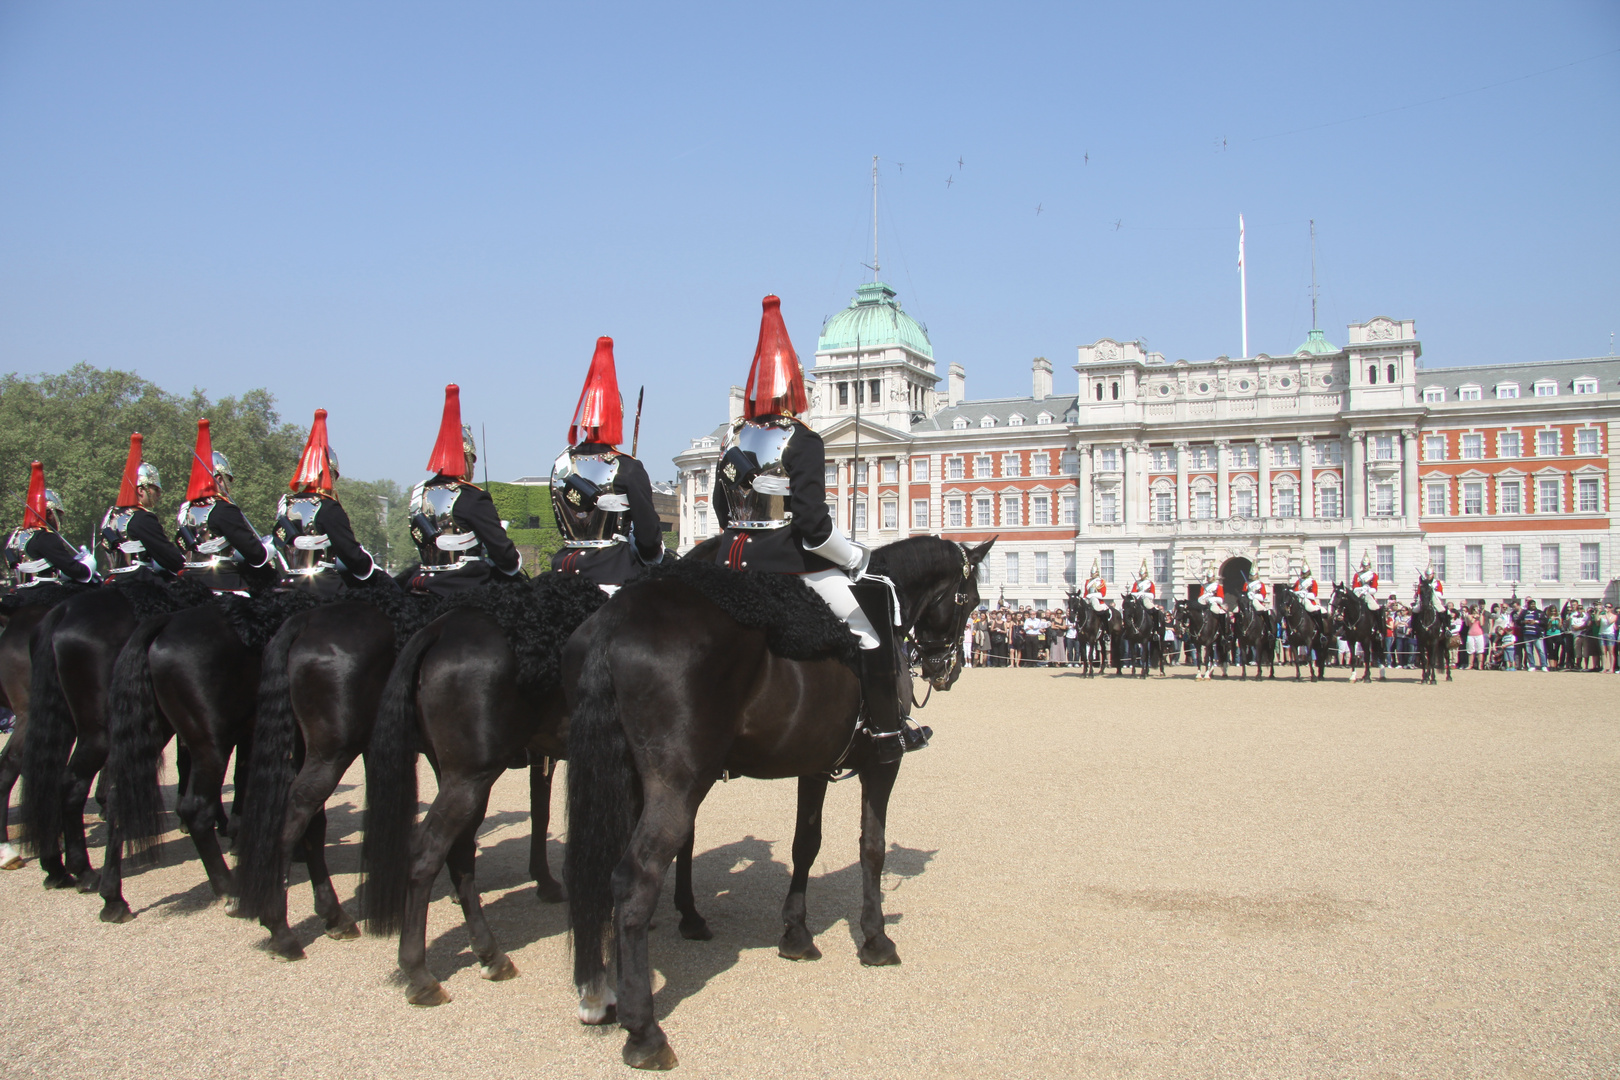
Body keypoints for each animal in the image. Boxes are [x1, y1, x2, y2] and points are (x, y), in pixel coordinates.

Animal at [567, 537, 984, 1068]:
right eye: (970, 600)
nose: (947, 669)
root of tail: (617, 615)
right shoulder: (882, 764)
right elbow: (872, 847)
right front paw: (875, 939)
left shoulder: (815, 764)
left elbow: (805, 844)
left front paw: (796, 935)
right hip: (676, 785)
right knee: (634, 879)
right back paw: (644, 1031)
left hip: (627, 783)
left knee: (598, 869)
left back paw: (601, 994)